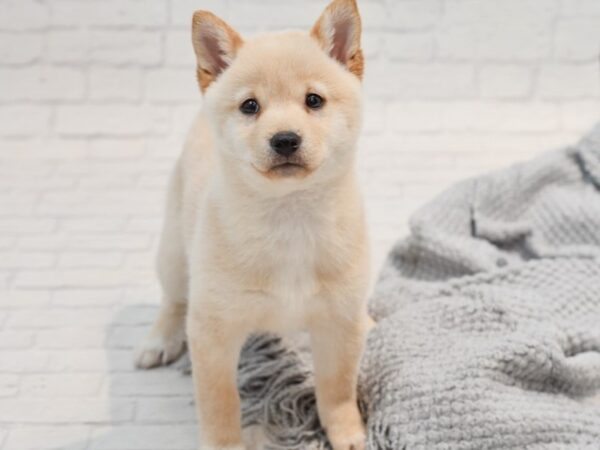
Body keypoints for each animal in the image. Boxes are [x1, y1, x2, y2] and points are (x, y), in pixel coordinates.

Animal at [137, 1, 370, 448]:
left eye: (314, 100)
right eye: (250, 106)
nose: (285, 139)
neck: (290, 219)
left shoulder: (338, 321)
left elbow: (337, 388)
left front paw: (346, 432)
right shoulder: (213, 331)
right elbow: (220, 403)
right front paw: (225, 444)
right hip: (173, 255)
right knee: (173, 300)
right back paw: (159, 340)